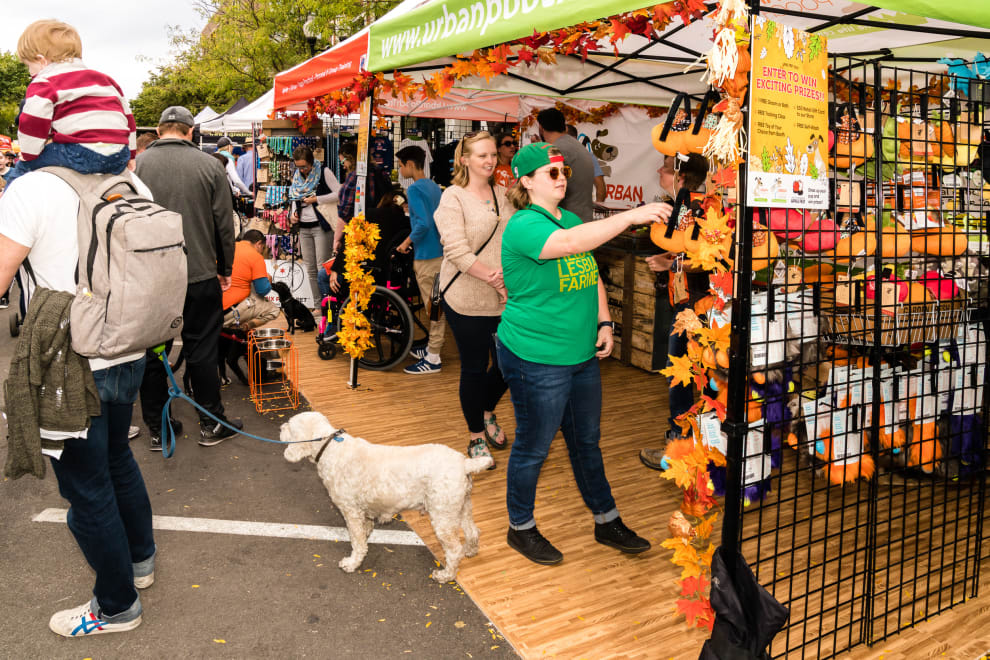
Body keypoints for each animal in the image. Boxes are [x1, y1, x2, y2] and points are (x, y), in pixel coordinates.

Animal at [282, 412, 492, 584]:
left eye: (290, 426)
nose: (280, 428)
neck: (330, 449)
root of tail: (465, 463)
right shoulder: (362, 512)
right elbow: (364, 531)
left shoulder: (351, 511)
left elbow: (357, 542)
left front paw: (352, 563)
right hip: (462, 507)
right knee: (473, 531)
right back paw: (470, 551)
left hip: (443, 516)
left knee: (454, 550)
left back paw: (445, 575)